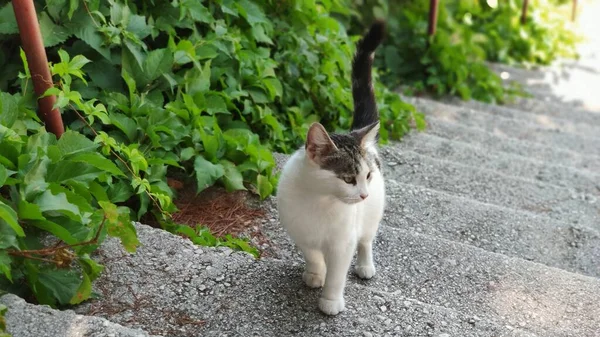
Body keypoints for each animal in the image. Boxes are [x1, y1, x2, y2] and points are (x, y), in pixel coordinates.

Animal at [278, 21, 386, 316]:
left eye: (366, 176)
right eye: (348, 179)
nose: (363, 195)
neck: (319, 200)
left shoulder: (342, 242)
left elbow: (338, 272)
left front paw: (331, 301)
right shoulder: (300, 231)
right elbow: (313, 255)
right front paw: (316, 274)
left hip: (372, 215)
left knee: (367, 240)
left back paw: (365, 265)